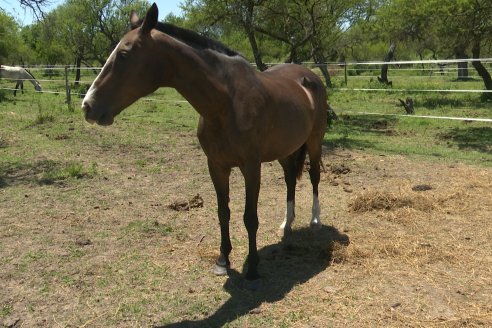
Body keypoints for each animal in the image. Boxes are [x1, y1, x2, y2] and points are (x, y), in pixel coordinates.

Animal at [81, 2, 326, 284]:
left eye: (123, 54)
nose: (88, 106)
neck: (226, 102)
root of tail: (309, 76)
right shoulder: (216, 165)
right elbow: (223, 213)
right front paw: (223, 260)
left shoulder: (251, 167)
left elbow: (250, 217)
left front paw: (253, 267)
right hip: (285, 150)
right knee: (289, 180)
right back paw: (287, 224)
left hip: (315, 141)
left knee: (314, 176)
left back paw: (315, 220)